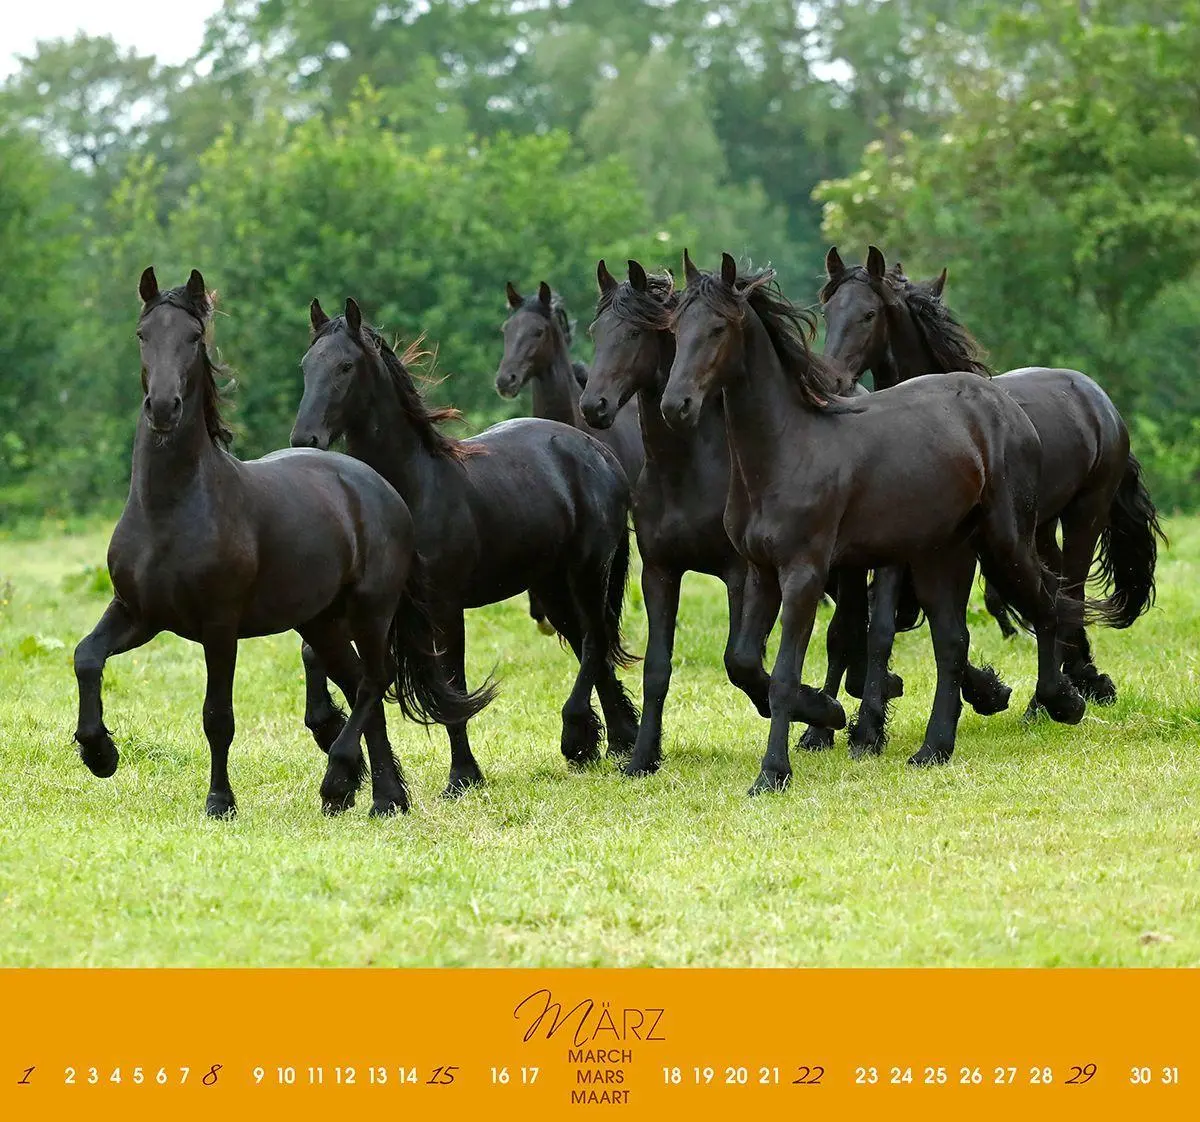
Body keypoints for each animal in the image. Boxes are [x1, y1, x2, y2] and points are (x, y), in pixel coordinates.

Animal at [73, 268, 490, 819]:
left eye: (193, 338)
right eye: (143, 335)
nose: (163, 408)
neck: (171, 508)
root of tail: (379, 487)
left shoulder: (219, 628)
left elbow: (217, 717)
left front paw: (219, 803)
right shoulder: (137, 612)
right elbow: (86, 656)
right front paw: (99, 752)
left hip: (370, 611)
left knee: (375, 681)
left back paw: (340, 782)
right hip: (321, 622)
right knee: (359, 683)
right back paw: (386, 798)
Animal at [291, 296, 640, 796]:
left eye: (344, 366)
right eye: (306, 365)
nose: (305, 439)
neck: (413, 489)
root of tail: (597, 451)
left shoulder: (444, 607)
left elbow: (453, 682)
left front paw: (462, 776)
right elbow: (313, 652)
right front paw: (325, 728)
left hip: (588, 571)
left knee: (595, 639)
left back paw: (577, 735)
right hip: (551, 586)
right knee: (588, 642)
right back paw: (617, 740)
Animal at [577, 259, 771, 776]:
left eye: (635, 333)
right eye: (596, 332)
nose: (593, 406)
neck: (686, 473)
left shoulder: (739, 574)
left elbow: (739, 659)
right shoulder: (660, 572)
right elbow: (657, 668)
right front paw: (644, 756)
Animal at [661, 251, 1092, 792]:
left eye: (718, 327)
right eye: (676, 329)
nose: (675, 406)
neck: (787, 448)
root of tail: (1006, 408)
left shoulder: (804, 574)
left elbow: (783, 674)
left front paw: (775, 771)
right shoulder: (761, 572)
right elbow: (742, 663)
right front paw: (825, 714)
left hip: (1006, 540)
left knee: (1048, 600)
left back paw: (1062, 700)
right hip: (939, 556)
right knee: (954, 642)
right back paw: (934, 748)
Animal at [820, 245, 1164, 718]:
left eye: (869, 314)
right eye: (827, 310)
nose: (832, 378)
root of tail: (1099, 400)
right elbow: (884, 625)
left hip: (1085, 514)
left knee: (1072, 590)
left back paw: (1050, 696)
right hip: (1039, 529)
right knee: (1056, 588)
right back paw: (1079, 678)